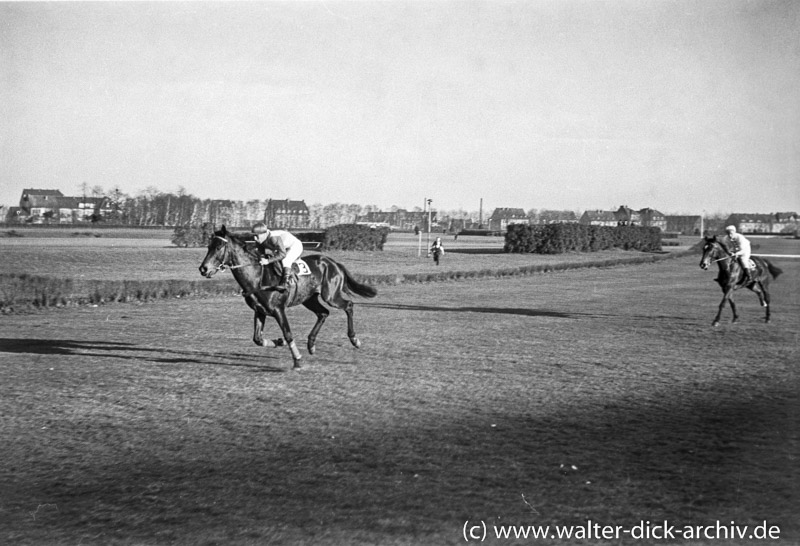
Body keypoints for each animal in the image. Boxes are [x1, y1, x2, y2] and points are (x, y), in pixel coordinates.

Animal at [198, 223, 376, 368]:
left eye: (219, 247)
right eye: (208, 246)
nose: (203, 269)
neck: (257, 277)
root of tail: (333, 262)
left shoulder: (278, 310)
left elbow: (288, 334)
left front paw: (297, 360)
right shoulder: (260, 311)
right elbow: (258, 339)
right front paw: (278, 341)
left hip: (330, 296)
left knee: (348, 305)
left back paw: (354, 339)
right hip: (309, 298)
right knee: (323, 313)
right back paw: (311, 344)